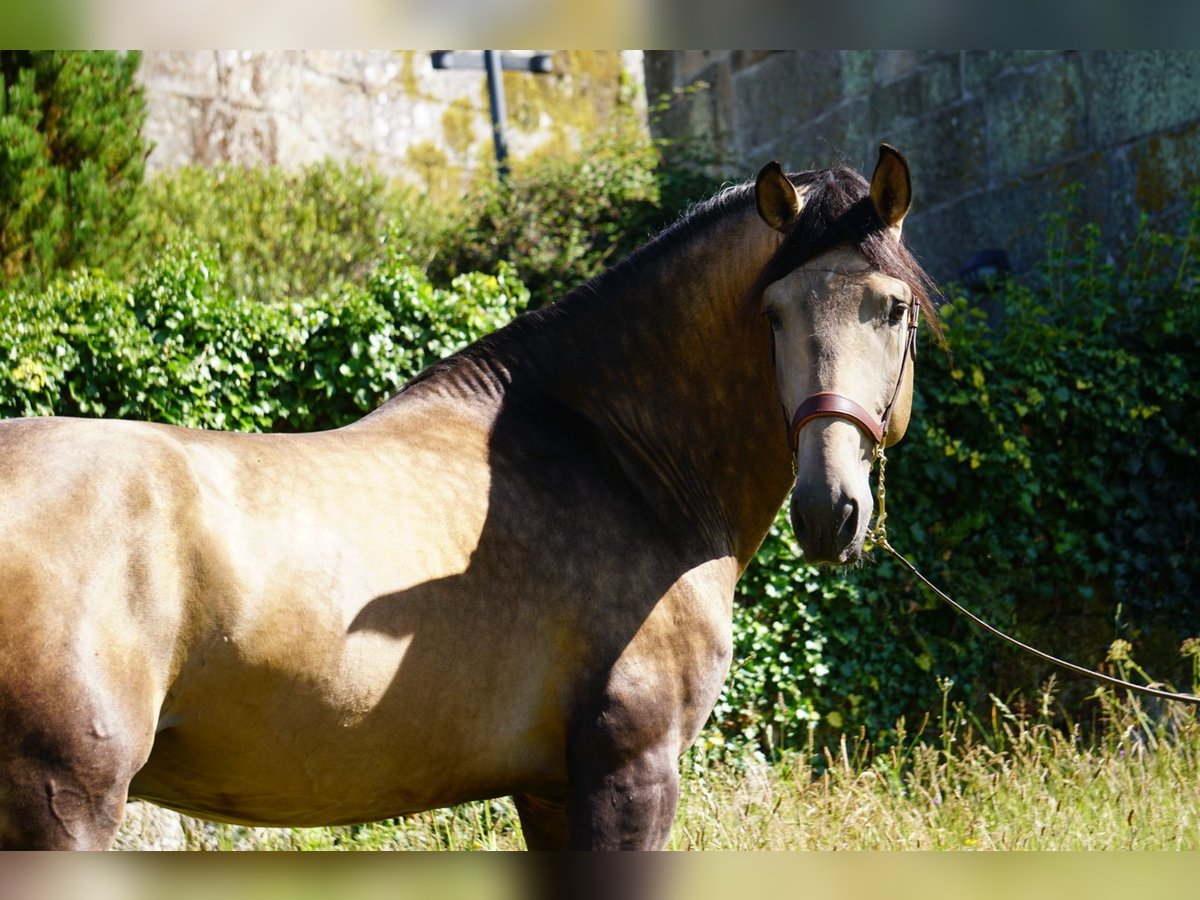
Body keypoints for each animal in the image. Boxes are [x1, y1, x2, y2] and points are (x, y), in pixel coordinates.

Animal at [0, 144, 936, 849]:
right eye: (772, 314)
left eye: (892, 309)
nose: (829, 510)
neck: (615, 454)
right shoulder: (631, 772)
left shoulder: (551, 790)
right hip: (64, 807)